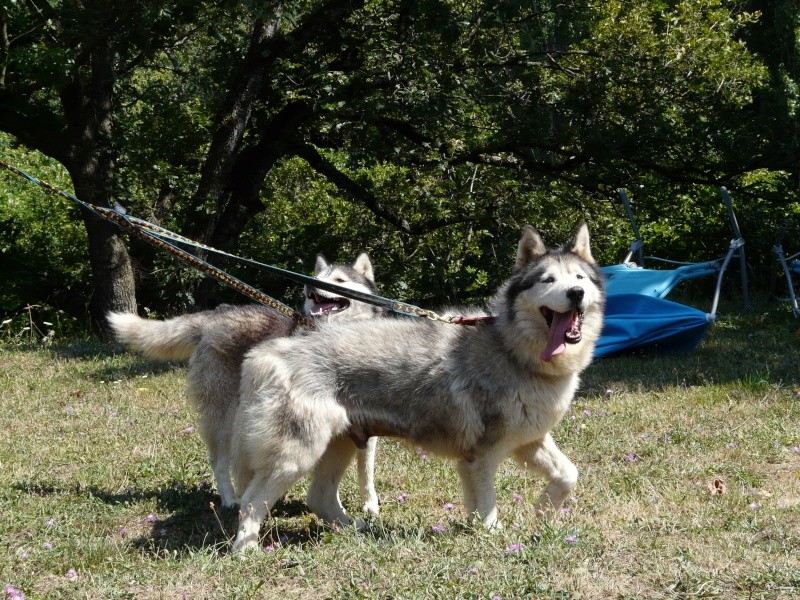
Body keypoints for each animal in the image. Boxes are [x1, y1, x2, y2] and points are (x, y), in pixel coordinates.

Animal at [108, 253, 382, 510]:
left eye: (339, 280)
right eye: (317, 277)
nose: (309, 286)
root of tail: (213, 316)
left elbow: (366, 470)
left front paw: (370, 504)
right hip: (225, 415)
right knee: (219, 461)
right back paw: (230, 499)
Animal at [231, 223, 608, 552]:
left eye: (579, 278)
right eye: (548, 280)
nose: (576, 293)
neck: (513, 350)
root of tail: (266, 354)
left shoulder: (529, 440)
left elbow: (568, 474)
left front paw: (543, 511)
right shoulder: (483, 455)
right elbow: (487, 507)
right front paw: (494, 536)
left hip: (340, 445)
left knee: (319, 498)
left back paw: (360, 529)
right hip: (297, 455)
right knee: (251, 502)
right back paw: (246, 551)